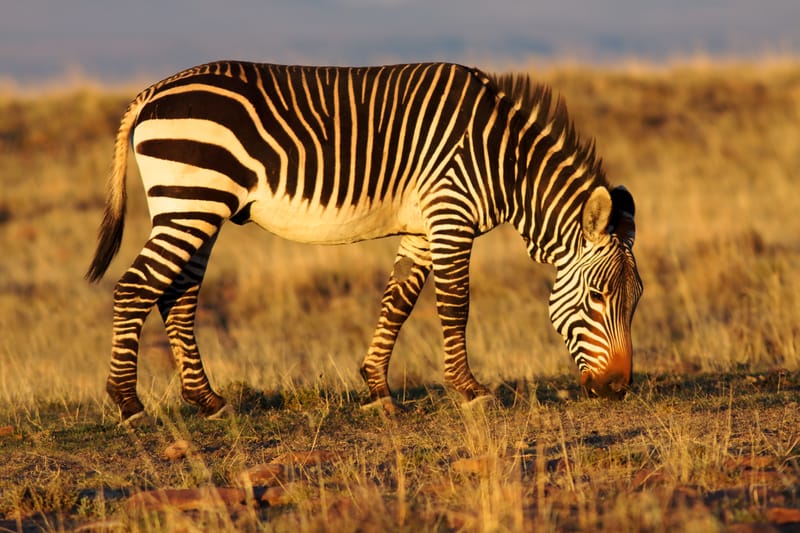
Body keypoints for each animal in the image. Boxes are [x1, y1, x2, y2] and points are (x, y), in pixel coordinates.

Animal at [86, 61, 643, 424]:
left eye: (634, 301)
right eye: (597, 297)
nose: (618, 389)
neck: (506, 160)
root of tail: (152, 91)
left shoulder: (421, 228)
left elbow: (397, 303)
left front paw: (376, 387)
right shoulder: (451, 212)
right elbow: (455, 305)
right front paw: (469, 391)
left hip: (197, 209)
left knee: (178, 297)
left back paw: (207, 401)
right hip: (191, 201)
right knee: (134, 289)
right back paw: (129, 405)